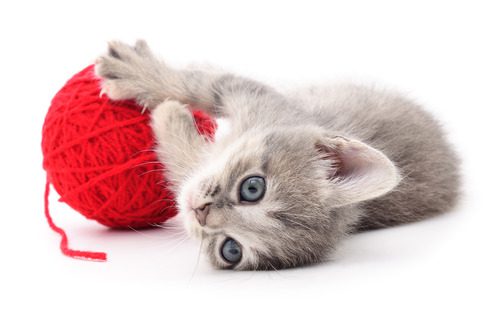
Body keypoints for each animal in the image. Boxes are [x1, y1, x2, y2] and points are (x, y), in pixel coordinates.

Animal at [94, 40, 460, 270]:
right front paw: (140, 72)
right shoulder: (252, 95)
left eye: (231, 249)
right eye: (253, 188)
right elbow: (200, 83)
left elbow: (181, 163)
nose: (201, 212)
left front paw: (167, 116)